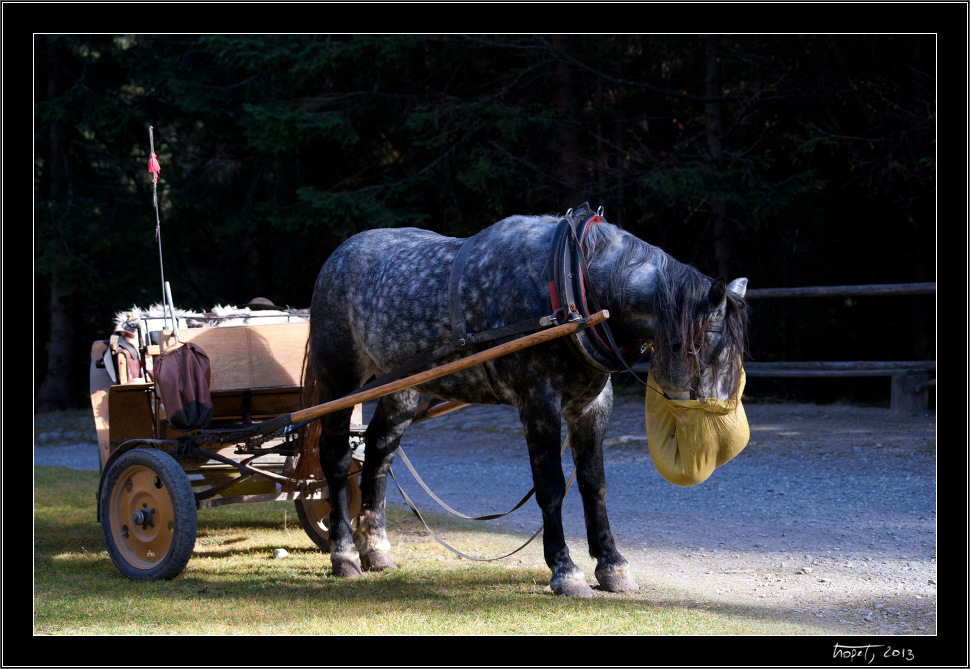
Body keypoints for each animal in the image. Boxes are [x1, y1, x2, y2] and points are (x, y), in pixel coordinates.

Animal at [296, 202, 748, 596]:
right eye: (706, 348)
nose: (725, 438)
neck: (572, 288)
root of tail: (338, 256)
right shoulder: (538, 403)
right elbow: (550, 487)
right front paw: (565, 571)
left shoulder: (592, 406)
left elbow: (594, 484)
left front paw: (613, 566)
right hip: (340, 382)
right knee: (337, 459)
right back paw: (344, 554)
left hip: (400, 388)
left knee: (378, 455)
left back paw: (376, 550)